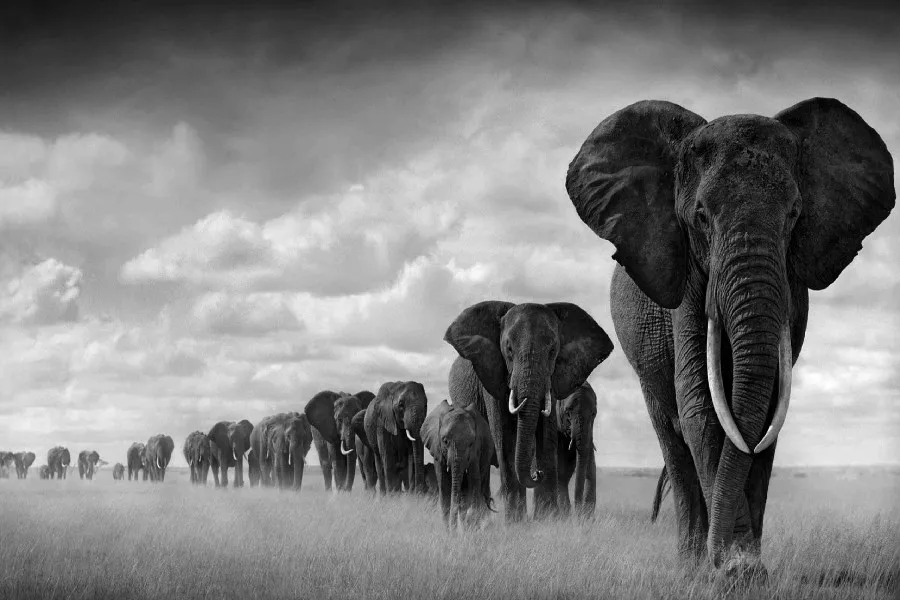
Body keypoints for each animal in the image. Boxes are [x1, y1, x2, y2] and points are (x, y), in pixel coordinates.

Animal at [421, 399, 497, 529]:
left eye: (471, 443)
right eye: (445, 441)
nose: (454, 530)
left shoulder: (475, 452)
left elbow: (474, 484)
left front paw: (470, 528)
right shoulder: (437, 449)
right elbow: (444, 489)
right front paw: (450, 532)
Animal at [556, 382, 599, 518]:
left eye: (594, 414)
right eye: (568, 412)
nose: (578, 514)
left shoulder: (590, 432)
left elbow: (591, 469)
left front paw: (586, 519)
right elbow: (560, 471)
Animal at [565, 98, 894, 571]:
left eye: (795, 214)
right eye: (701, 216)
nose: (725, 560)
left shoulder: (791, 285)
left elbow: (768, 410)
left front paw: (746, 569)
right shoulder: (684, 278)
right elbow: (701, 406)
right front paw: (732, 572)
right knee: (673, 439)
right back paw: (690, 566)